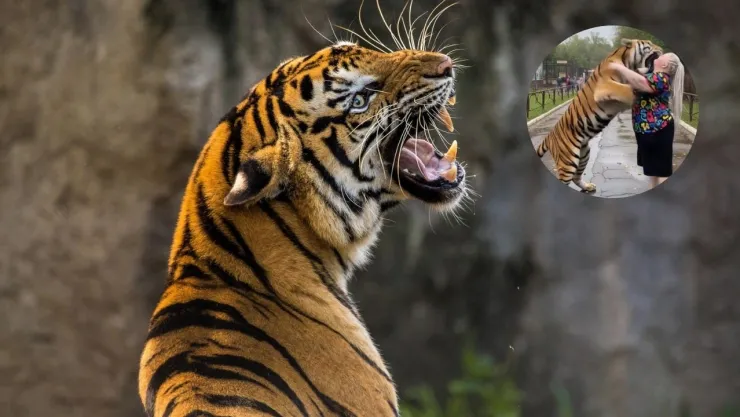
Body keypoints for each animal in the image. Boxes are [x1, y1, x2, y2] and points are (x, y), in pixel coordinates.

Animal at [535, 38, 663, 193]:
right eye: (649, 44)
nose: (662, 49)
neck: (626, 61)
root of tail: (549, 136)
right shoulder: (605, 86)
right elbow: (626, 89)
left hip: (583, 154)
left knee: (576, 177)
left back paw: (588, 186)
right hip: (568, 161)